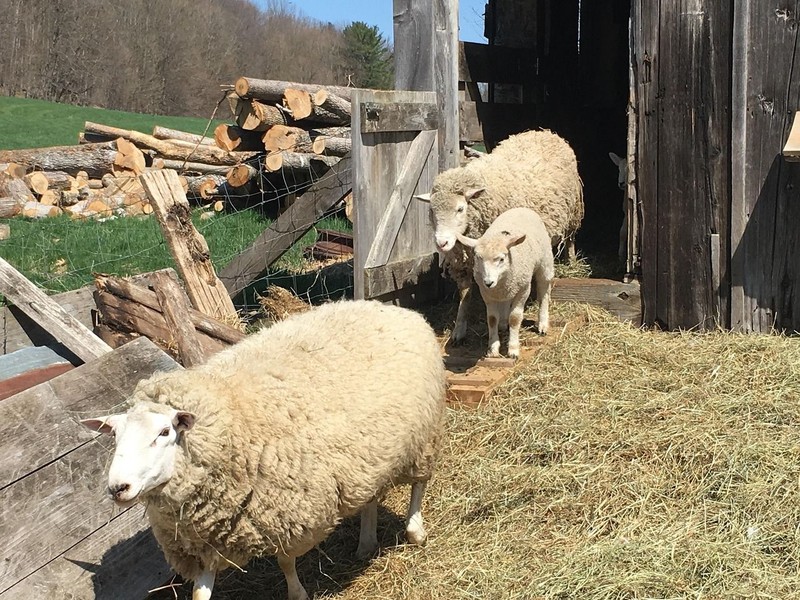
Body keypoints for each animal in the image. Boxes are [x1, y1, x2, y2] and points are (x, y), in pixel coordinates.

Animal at [81, 300, 446, 600]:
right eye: (115, 436)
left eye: (164, 432)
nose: (117, 488)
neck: (232, 413)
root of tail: (394, 308)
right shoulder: (207, 542)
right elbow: (201, 591)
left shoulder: (289, 514)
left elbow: (285, 561)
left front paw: (297, 594)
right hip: (369, 453)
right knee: (370, 495)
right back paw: (366, 543)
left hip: (424, 436)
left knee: (419, 483)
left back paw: (415, 531)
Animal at [456, 207, 556, 356]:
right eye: (478, 258)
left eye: (502, 259)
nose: (488, 282)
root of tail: (521, 208)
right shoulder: (486, 293)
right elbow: (492, 319)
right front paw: (493, 348)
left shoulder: (523, 289)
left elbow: (515, 318)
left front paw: (513, 349)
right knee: (505, 302)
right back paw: (503, 323)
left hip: (545, 262)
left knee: (544, 292)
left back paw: (542, 324)